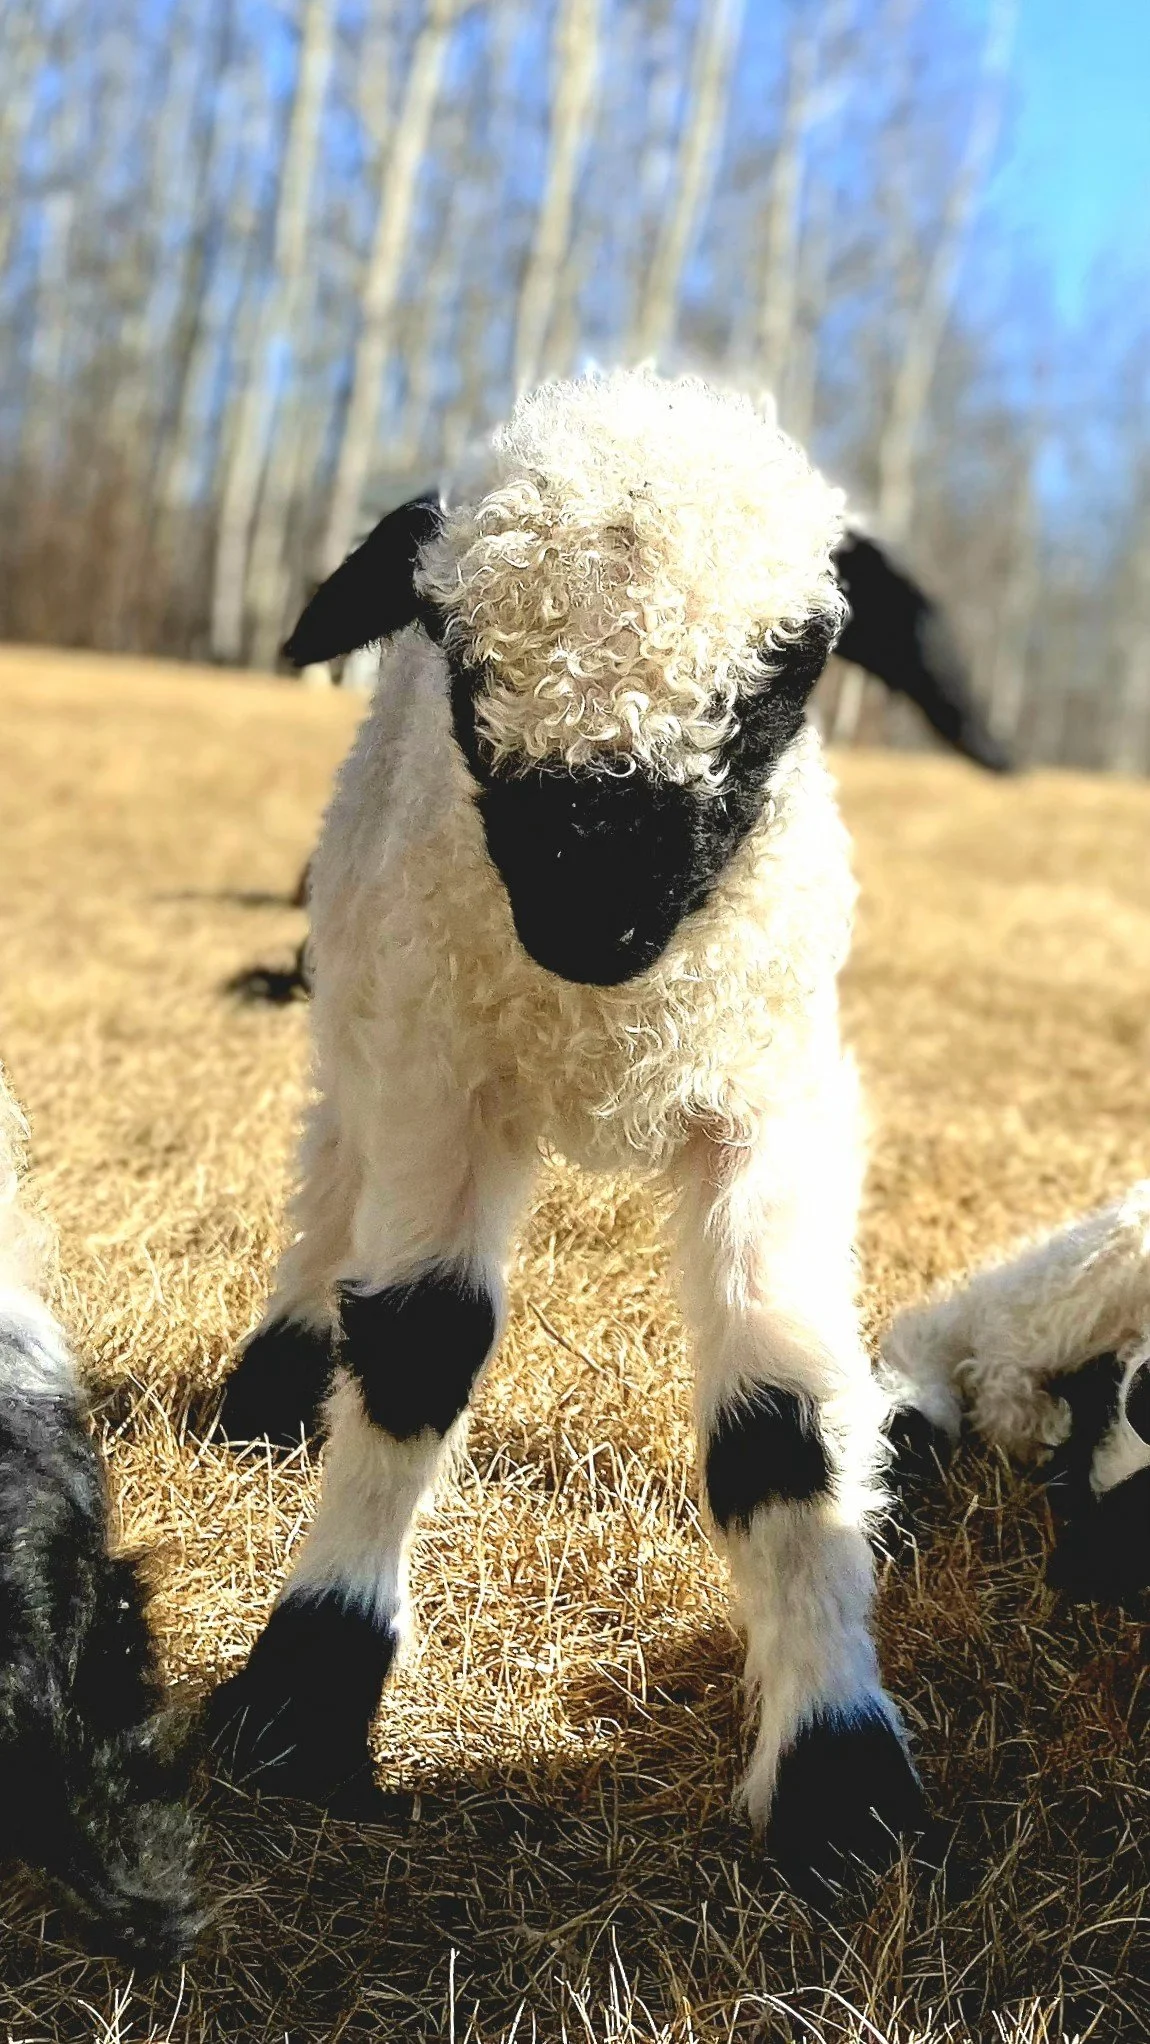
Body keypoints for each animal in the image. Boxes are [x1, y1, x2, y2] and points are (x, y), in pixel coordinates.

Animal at [207, 370, 928, 1896]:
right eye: (460, 652)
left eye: (792, 667)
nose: (593, 912)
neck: (605, 1019)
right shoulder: (446, 1066)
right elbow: (415, 1347)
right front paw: (307, 1693)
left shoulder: (768, 1094)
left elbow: (781, 1418)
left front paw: (839, 1780)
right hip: (361, 980)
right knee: (331, 1163)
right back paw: (275, 1383)